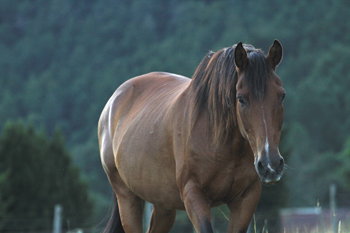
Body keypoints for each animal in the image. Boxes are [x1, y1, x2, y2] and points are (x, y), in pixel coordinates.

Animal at [97, 40, 286, 233]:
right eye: (240, 99)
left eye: (282, 95)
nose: (270, 165)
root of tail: (113, 101)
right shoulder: (193, 194)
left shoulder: (247, 197)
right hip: (127, 198)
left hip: (163, 204)